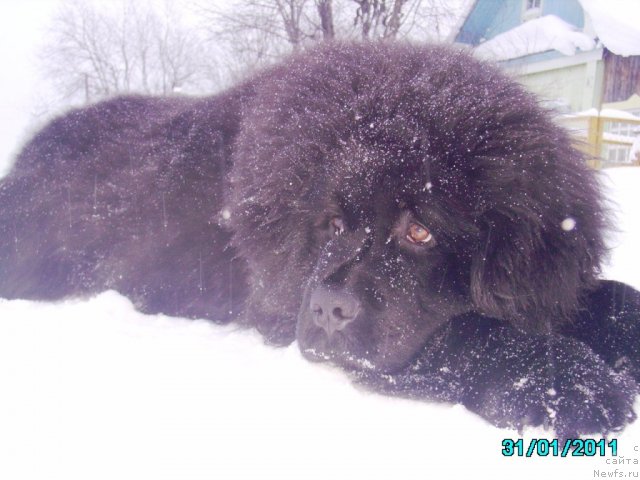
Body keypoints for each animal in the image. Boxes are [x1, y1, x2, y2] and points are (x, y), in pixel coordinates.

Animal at [1, 42, 640, 438]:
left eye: (420, 230)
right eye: (332, 225)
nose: (329, 307)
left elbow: (602, 297)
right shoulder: (285, 309)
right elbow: (466, 333)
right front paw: (571, 383)